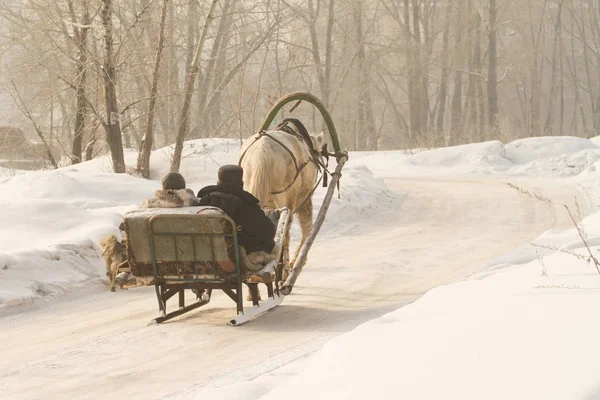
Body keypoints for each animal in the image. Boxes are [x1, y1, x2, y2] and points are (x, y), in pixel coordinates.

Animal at [239, 117, 324, 276]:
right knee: (288, 231)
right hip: (286, 197)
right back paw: (284, 269)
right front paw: (296, 262)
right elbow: (307, 229)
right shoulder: (304, 197)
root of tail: (262, 153)